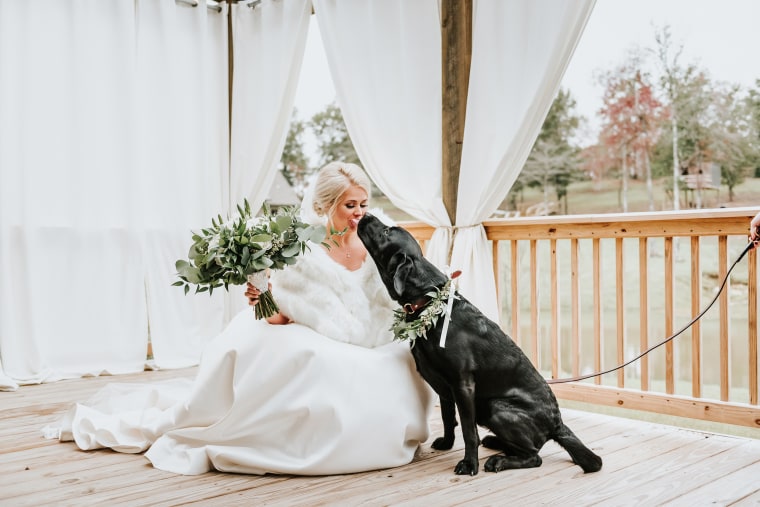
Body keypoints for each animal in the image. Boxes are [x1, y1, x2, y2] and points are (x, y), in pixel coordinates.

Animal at [360, 214, 604, 476]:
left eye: (386, 232)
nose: (365, 215)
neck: (430, 302)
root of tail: (557, 424)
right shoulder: (443, 387)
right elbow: (448, 417)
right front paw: (447, 443)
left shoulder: (463, 384)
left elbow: (468, 430)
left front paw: (469, 464)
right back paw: (495, 442)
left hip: (496, 406)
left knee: (534, 456)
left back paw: (498, 460)